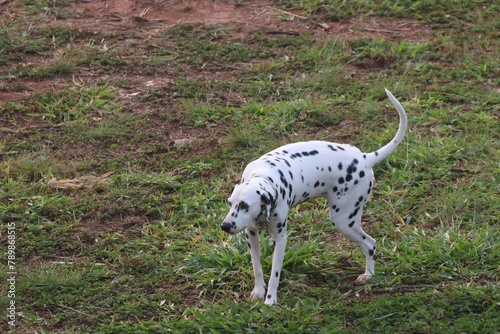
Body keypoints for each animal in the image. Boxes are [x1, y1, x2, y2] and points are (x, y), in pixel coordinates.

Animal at [221, 88, 408, 306]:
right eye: (230, 203)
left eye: (245, 205)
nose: (225, 226)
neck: (264, 175)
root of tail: (364, 157)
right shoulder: (251, 235)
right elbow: (257, 268)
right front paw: (258, 292)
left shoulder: (280, 239)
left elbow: (275, 273)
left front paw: (270, 301)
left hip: (344, 221)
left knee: (370, 244)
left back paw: (368, 275)